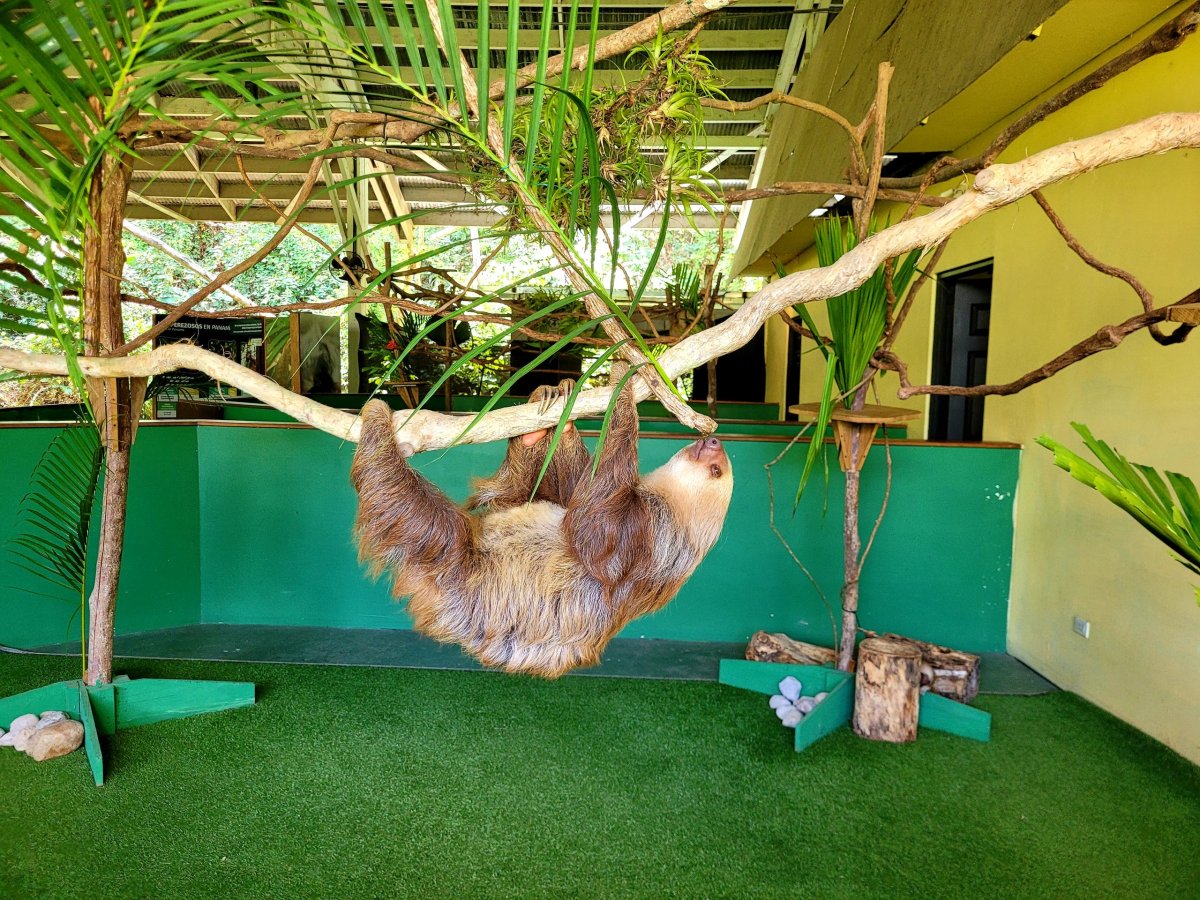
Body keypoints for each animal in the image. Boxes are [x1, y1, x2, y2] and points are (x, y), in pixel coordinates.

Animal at [350, 378, 734, 678]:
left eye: (717, 471)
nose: (715, 441)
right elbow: (566, 495)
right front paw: (567, 404)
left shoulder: (653, 537)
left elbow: (594, 535)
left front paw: (623, 387)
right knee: (514, 494)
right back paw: (535, 429)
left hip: (456, 570)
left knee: (422, 515)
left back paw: (377, 420)